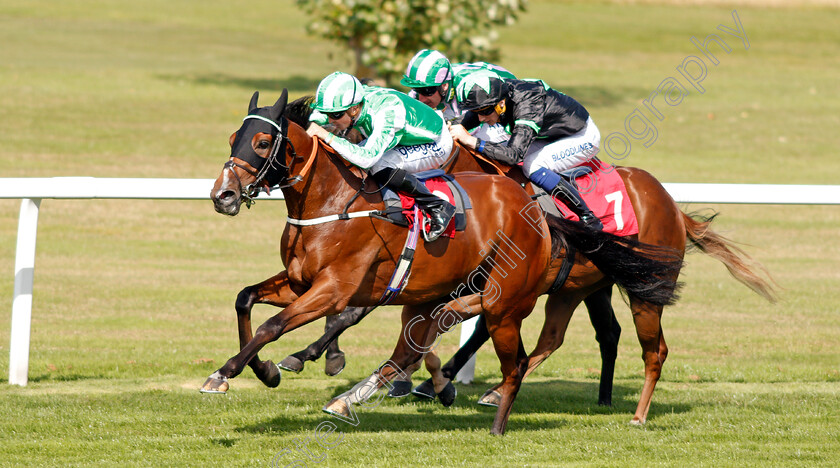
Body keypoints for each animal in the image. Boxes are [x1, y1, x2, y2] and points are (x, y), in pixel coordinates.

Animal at [203, 89, 684, 434]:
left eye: (262, 141)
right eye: (230, 139)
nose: (222, 195)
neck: (334, 203)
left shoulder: (335, 289)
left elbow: (276, 325)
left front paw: (235, 370)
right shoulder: (302, 283)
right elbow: (246, 299)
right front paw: (262, 369)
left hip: (608, 291)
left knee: (643, 347)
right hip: (569, 287)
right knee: (568, 335)